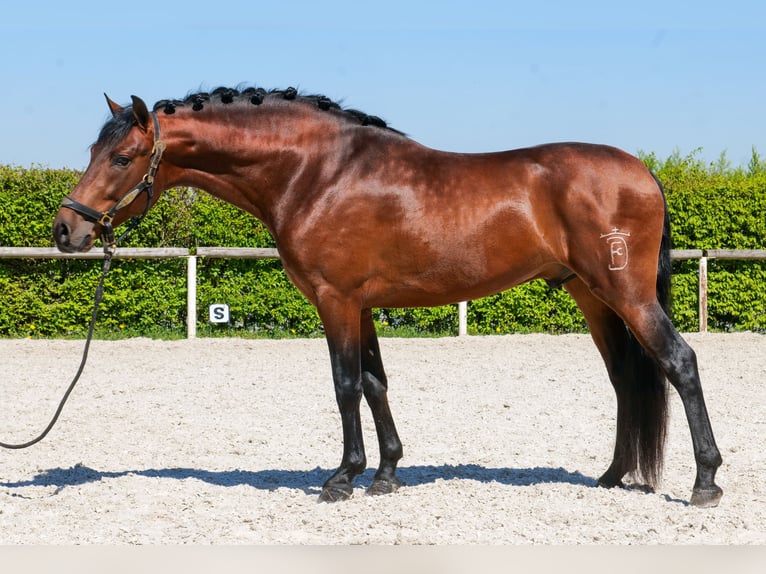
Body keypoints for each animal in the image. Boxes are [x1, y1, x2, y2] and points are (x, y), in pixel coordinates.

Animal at [52, 86, 722, 507]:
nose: (67, 230)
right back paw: (612, 476)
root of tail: (643, 171)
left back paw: (705, 483)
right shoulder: (363, 305)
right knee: (627, 379)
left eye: (122, 156)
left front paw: (342, 478)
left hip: (625, 293)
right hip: (593, 298)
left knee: (680, 362)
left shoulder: (335, 300)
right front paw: (387, 473)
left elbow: (345, 384)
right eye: (94, 151)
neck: (317, 172)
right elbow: (375, 383)